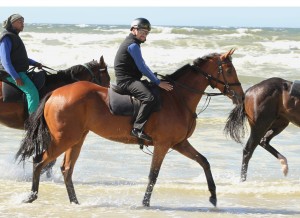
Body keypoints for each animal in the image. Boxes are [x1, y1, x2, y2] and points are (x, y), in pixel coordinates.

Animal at [15, 49, 244, 208]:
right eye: (229, 70)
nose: (241, 96)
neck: (178, 98)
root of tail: (55, 93)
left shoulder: (179, 143)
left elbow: (204, 162)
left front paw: (213, 196)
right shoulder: (163, 144)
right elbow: (153, 175)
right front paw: (145, 203)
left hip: (76, 139)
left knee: (66, 169)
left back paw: (74, 202)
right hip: (64, 138)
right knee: (40, 161)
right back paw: (31, 196)